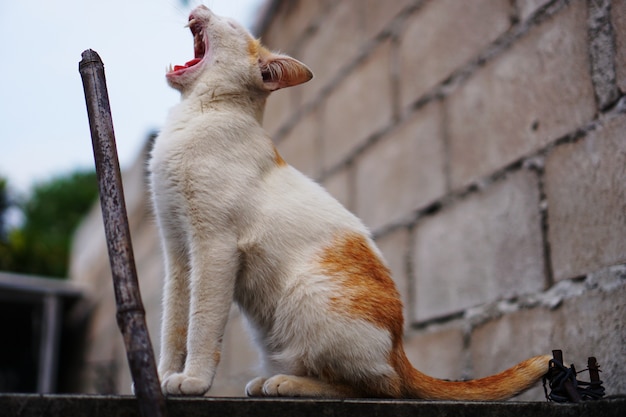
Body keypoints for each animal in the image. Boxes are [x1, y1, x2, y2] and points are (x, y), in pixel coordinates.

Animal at [149, 4, 548, 400]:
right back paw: (274, 379)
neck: (198, 113)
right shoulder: (177, 250)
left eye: (231, 24)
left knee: (378, 386)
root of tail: (399, 350)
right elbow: (173, 325)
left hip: (308, 294)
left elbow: (202, 326)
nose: (201, 7)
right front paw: (162, 375)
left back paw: (288, 383)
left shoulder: (215, 248)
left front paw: (194, 379)